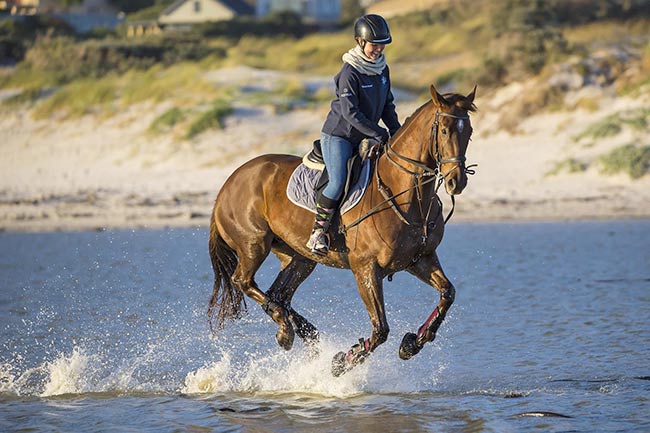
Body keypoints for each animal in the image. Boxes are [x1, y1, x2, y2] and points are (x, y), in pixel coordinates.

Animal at [209, 83, 476, 374]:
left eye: (469, 132)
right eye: (444, 130)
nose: (456, 182)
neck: (406, 195)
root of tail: (227, 184)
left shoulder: (419, 259)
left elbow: (447, 293)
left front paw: (411, 344)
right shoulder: (366, 269)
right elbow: (380, 329)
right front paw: (344, 360)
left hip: (299, 257)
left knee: (278, 294)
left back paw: (302, 333)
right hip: (253, 245)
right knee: (244, 281)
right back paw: (286, 331)